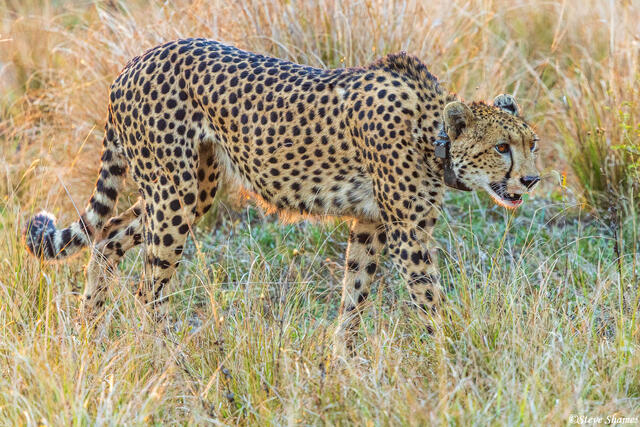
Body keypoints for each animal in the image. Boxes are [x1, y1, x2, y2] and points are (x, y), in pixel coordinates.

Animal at [23, 38, 540, 344]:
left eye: (531, 144)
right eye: (501, 148)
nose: (531, 179)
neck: (433, 136)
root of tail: (136, 60)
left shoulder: (370, 223)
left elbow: (354, 296)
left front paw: (341, 364)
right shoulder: (407, 231)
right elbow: (428, 300)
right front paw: (451, 359)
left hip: (192, 186)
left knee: (107, 235)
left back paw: (89, 333)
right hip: (173, 191)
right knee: (148, 285)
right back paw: (168, 357)